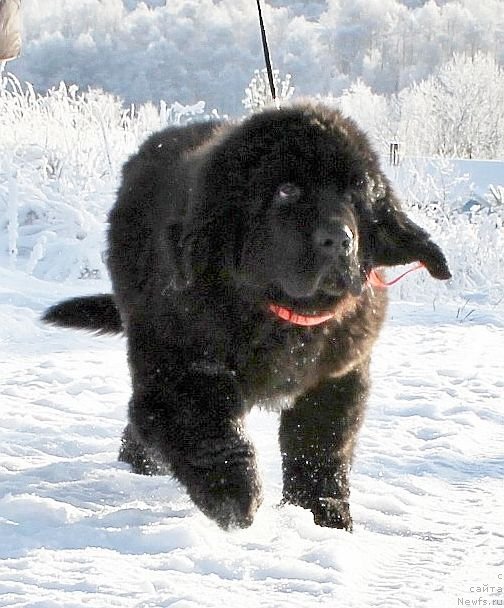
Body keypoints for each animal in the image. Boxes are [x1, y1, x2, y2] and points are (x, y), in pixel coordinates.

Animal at [43, 104, 450, 532]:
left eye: (355, 191)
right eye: (287, 191)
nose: (339, 240)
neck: (280, 315)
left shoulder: (335, 377)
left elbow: (319, 447)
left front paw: (322, 514)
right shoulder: (184, 364)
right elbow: (207, 425)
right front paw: (234, 495)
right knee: (148, 409)